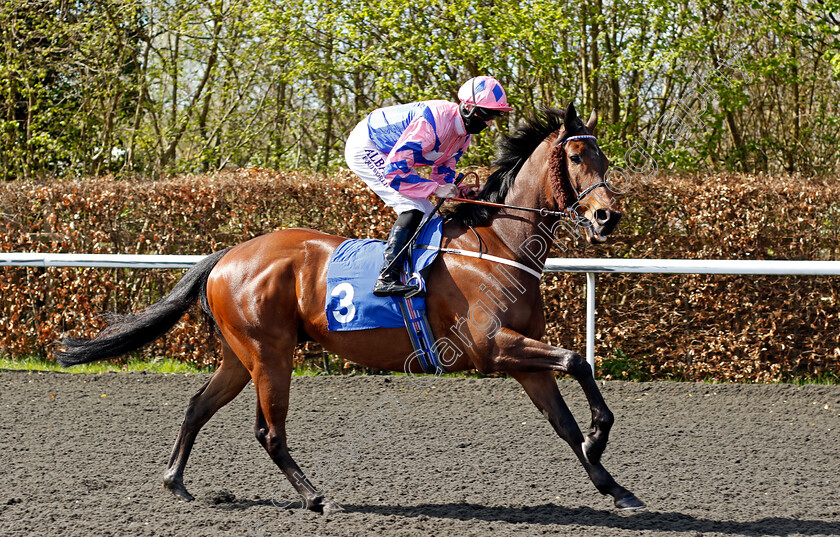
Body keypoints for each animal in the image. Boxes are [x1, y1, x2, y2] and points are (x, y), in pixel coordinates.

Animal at [57, 103, 644, 510]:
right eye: (575, 157)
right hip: (270, 353)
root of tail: (229, 254)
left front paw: (613, 485)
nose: (607, 216)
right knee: (269, 432)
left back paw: (176, 482)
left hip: (241, 355)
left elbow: (563, 419)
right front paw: (599, 435)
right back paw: (315, 496)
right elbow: (578, 361)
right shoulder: (493, 348)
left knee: (199, 405)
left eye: (604, 157)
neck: (499, 243)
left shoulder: (522, 358)